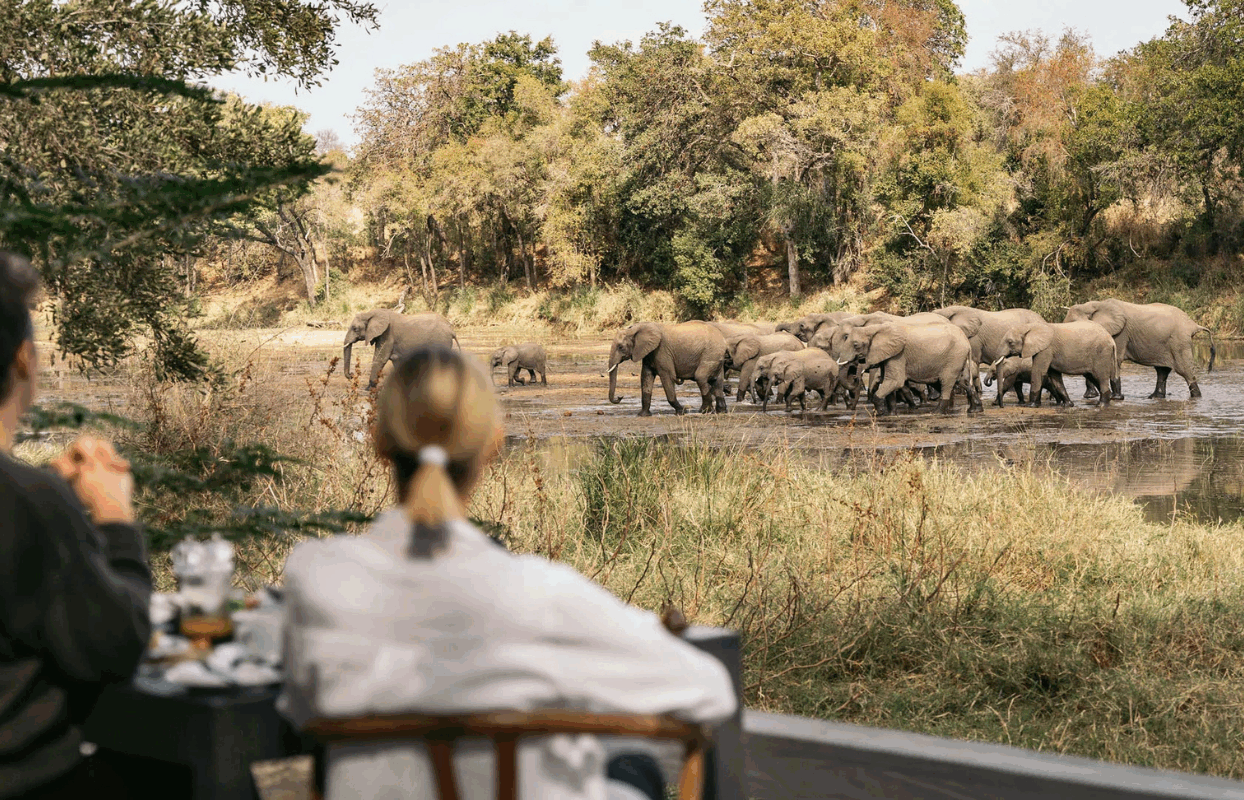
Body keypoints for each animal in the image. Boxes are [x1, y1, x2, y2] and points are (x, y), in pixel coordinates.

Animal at [839, 322, 982, 415]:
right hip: (958, 358)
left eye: (856, 345)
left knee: (946, 382)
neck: (874, 329)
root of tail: (967, 342)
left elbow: (894, 381)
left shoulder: (898, 355)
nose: (855, 377)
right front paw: (890, 414)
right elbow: (888, 381)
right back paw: (975, 409)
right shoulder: (889, 354)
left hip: (954, 356)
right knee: (961, 381)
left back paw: (936, 412)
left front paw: (880, 413)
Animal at [1062, 299, 1216, 399]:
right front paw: (1090, 396)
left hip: (1179, 342)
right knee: (1162, 371)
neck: (1095, 304)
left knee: (1185, 371)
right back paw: (1154, 397)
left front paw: (1115, 398)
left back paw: (1196, 397)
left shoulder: (1120, 333)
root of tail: (1193, 325)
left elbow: (1115, 360)